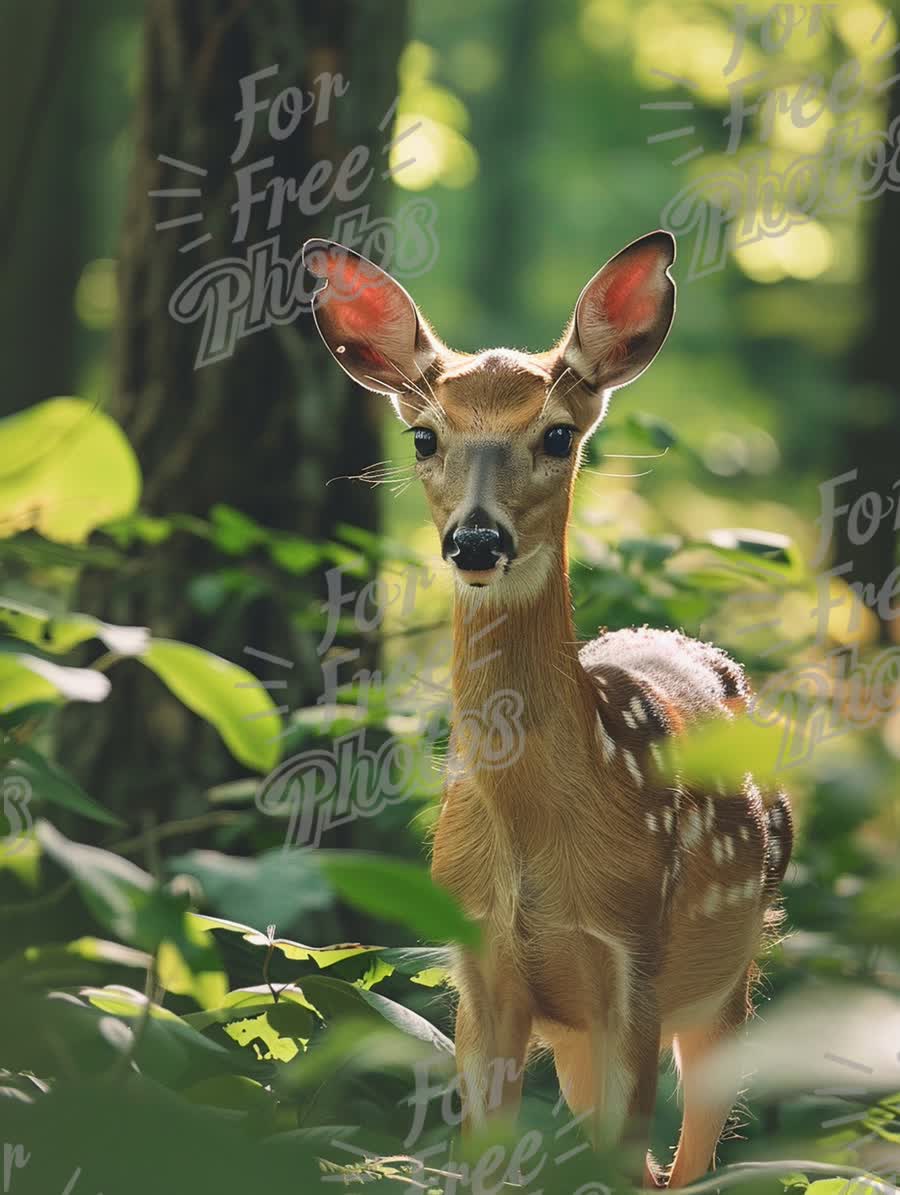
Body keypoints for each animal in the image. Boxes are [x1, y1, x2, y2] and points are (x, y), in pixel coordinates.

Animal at [303, 230, 793, 1185]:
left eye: (558, 435)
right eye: (424, 435)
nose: (476, 539)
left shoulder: (633, 957)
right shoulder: (480, 969)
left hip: (729, 975)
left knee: (686, 1161)